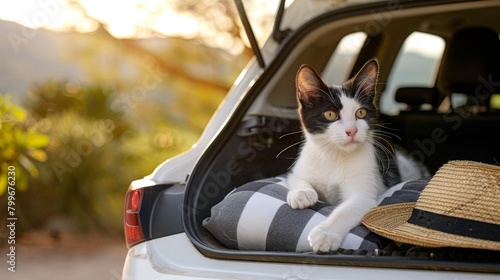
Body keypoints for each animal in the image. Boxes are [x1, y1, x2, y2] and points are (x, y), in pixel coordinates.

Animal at [288, 59, 428, 252]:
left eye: (360, 113)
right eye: (330, 114)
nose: (352, 131)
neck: (335, 155)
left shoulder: (365, 195)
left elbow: (345, 210)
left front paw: (325, 233)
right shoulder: (303, 165)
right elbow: (295, 178)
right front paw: (301, 193)